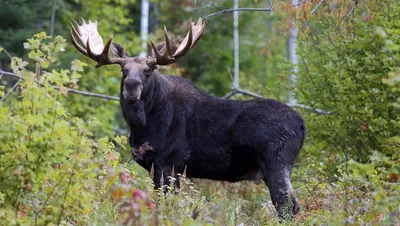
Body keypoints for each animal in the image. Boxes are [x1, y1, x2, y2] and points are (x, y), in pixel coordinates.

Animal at [69, 16, 306, 218]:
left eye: (149, 69)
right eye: (123, 70)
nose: (131, 86)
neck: (142, 126)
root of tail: (303, 125)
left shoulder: (170, 162)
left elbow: (168, 205)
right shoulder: (156, 166)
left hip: (276, 161)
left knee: (286, 205)